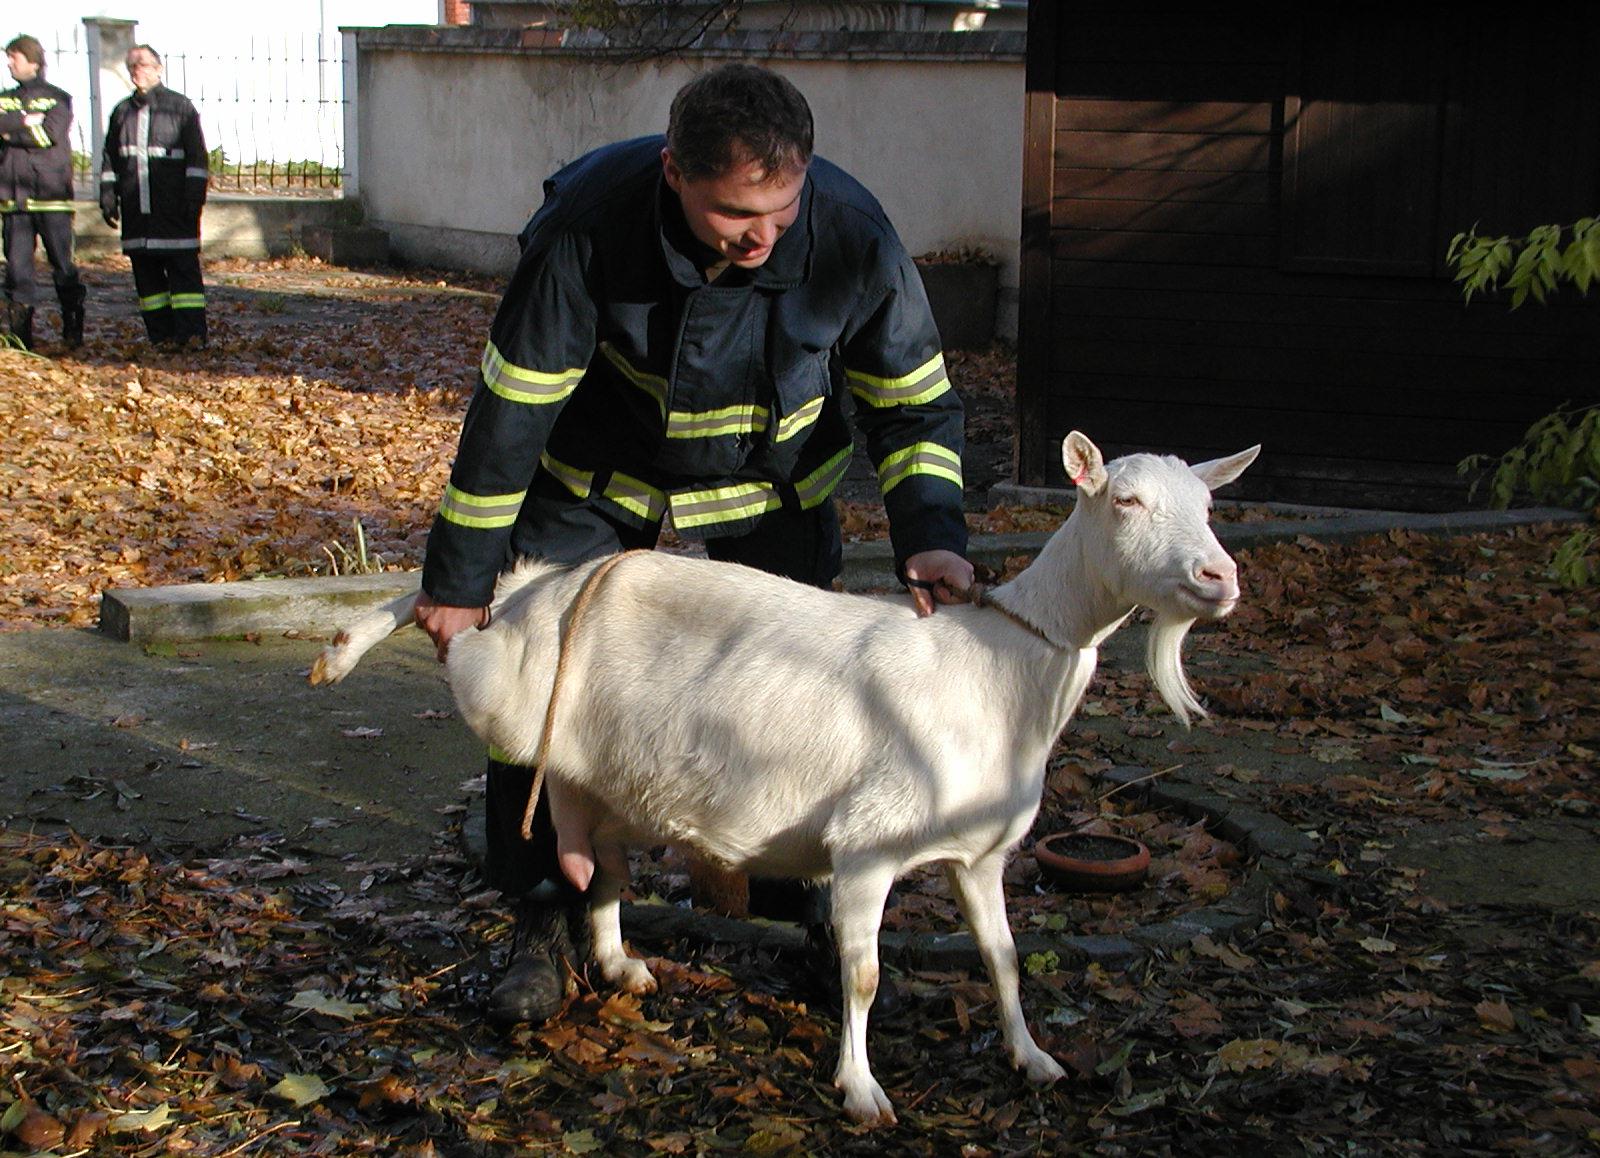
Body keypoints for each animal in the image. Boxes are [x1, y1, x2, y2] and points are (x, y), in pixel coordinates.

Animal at [315, 431, 1260, 1119]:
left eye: (1212, 505)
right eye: (1126, 500)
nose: (1219, 577)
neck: (999, 670)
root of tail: (559, 584)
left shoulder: (981, 853)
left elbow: (1003, 959)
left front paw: (1033, 1058)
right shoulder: (867, 847)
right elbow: (863, 976)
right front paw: (863, 1090)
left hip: (617, 774)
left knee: (601, 860)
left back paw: (620, 963)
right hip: (507, 685)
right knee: (461, 631)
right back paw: (357, 639)